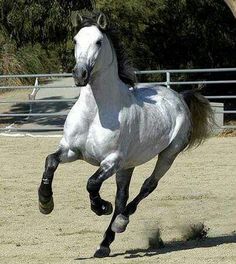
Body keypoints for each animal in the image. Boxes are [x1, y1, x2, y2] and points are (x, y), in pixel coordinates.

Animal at [37, 12, 213, 258]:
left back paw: (120, 222)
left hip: (167, 155)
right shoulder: (71, 150)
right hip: (128, 166)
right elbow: (50, 161)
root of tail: (179, 97)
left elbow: (91, 183)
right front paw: (45, 203)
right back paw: (104, 244)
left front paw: (101, 207)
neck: (96, 111)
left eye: (98, 42)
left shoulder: (111, 161)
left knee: (147, 186)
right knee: (122, 197)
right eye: (75, 39)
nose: (80, 74)